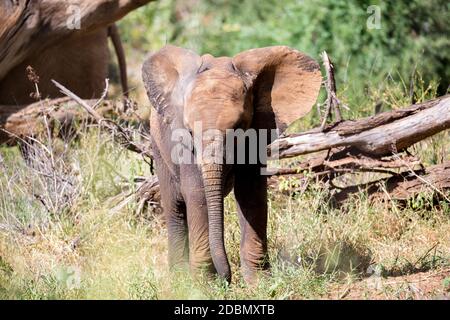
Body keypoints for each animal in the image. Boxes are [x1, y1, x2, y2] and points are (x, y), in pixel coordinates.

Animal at [142, 44, 322, 282]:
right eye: (189, 130)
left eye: (239, 126)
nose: (226, 279)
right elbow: (198, 194)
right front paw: (203, 285)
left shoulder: (256, 133)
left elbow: (250, 193)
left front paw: (259, 282)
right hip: (158, 147)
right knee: (174, 208)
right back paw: (179, 279)